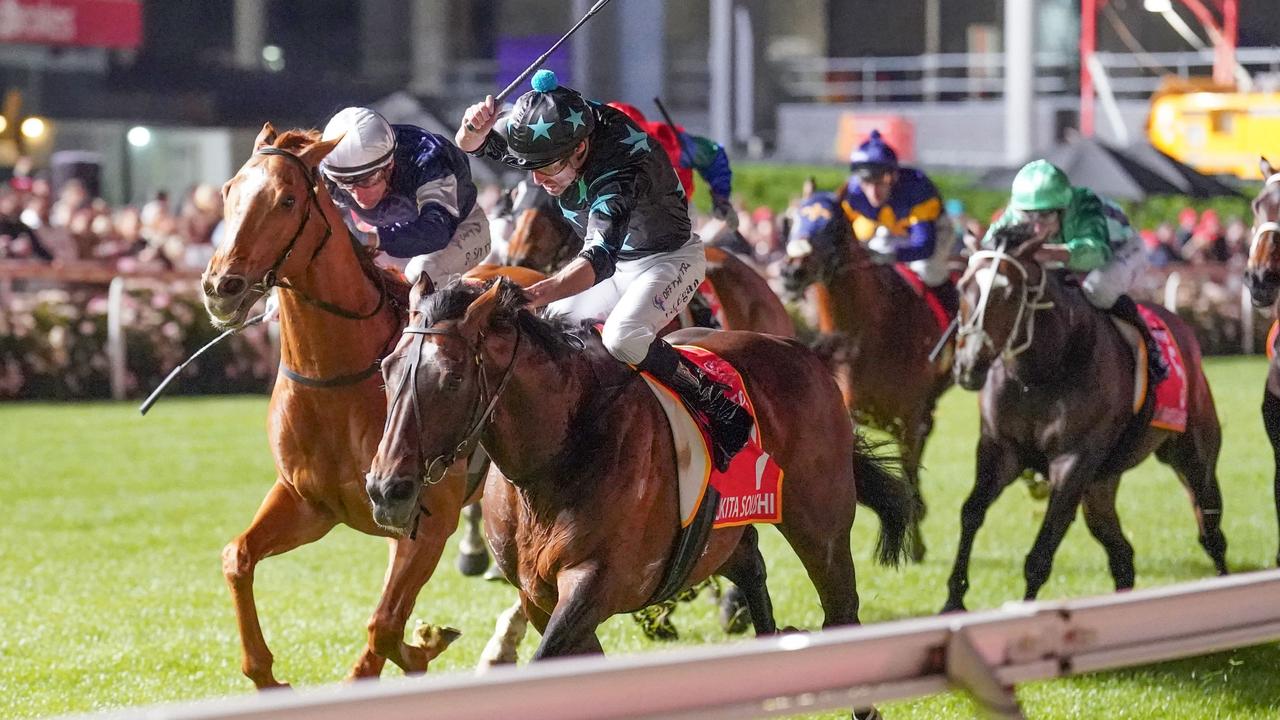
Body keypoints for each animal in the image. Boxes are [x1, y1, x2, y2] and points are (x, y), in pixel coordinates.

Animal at [202, 126, 473, 686]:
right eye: (228, 191)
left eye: (286, 200)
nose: (220, 287)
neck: (337, 381)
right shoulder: (309, 503)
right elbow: (237, 556)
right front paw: (267, 675)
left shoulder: (430, 520)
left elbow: (384, 626)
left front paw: (425, 646)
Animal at [366, 278, 916, 661]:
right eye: (387, 368)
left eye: (453, 378)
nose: (386, 490)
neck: (557, 454)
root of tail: (802, 351)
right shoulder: (540, 597)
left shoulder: (594, 584)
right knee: (752, 567)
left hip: (821, 529)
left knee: (841, 611)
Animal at [773, 190, 957, 561]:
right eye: (789, 220)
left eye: (833, 225)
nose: (791, 270)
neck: (872, 331)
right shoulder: (849, 408)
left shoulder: (908, 420)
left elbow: (910, 471)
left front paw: (916, 546)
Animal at [947, 226, 1223, 607]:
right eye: (962, 287)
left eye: (1010, 294)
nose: (968, 365)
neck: (1042, 371)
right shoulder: (1001, 449)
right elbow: (971, 512)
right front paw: (952, 601)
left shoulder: (1074, 461)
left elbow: (1041, 554)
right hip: (1100, 485)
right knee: (1122, 554)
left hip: (1192, 458)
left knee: (1211, 530)